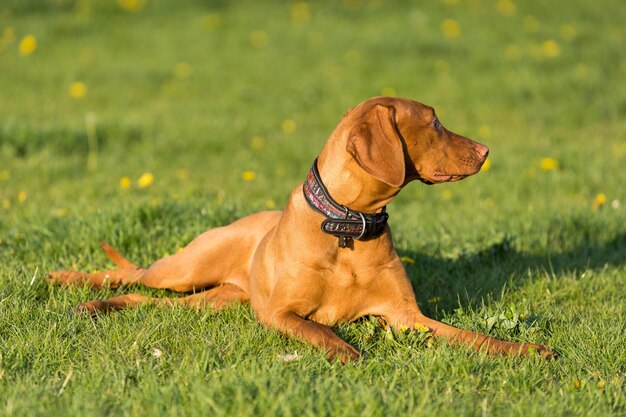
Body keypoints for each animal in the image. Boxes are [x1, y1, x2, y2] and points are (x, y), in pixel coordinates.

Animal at [51, 95, 552, 360]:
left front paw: (527, 351)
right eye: (435, 122)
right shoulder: (281, 313)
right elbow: (322, 331)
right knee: (133, 274)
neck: (348, 226)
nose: (486, 150)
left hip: (216, 300)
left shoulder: (407, 317)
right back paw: (70, 283)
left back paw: (98, 307)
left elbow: (474, 337)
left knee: (146, 301)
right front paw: (348, 354)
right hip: (186, 269)